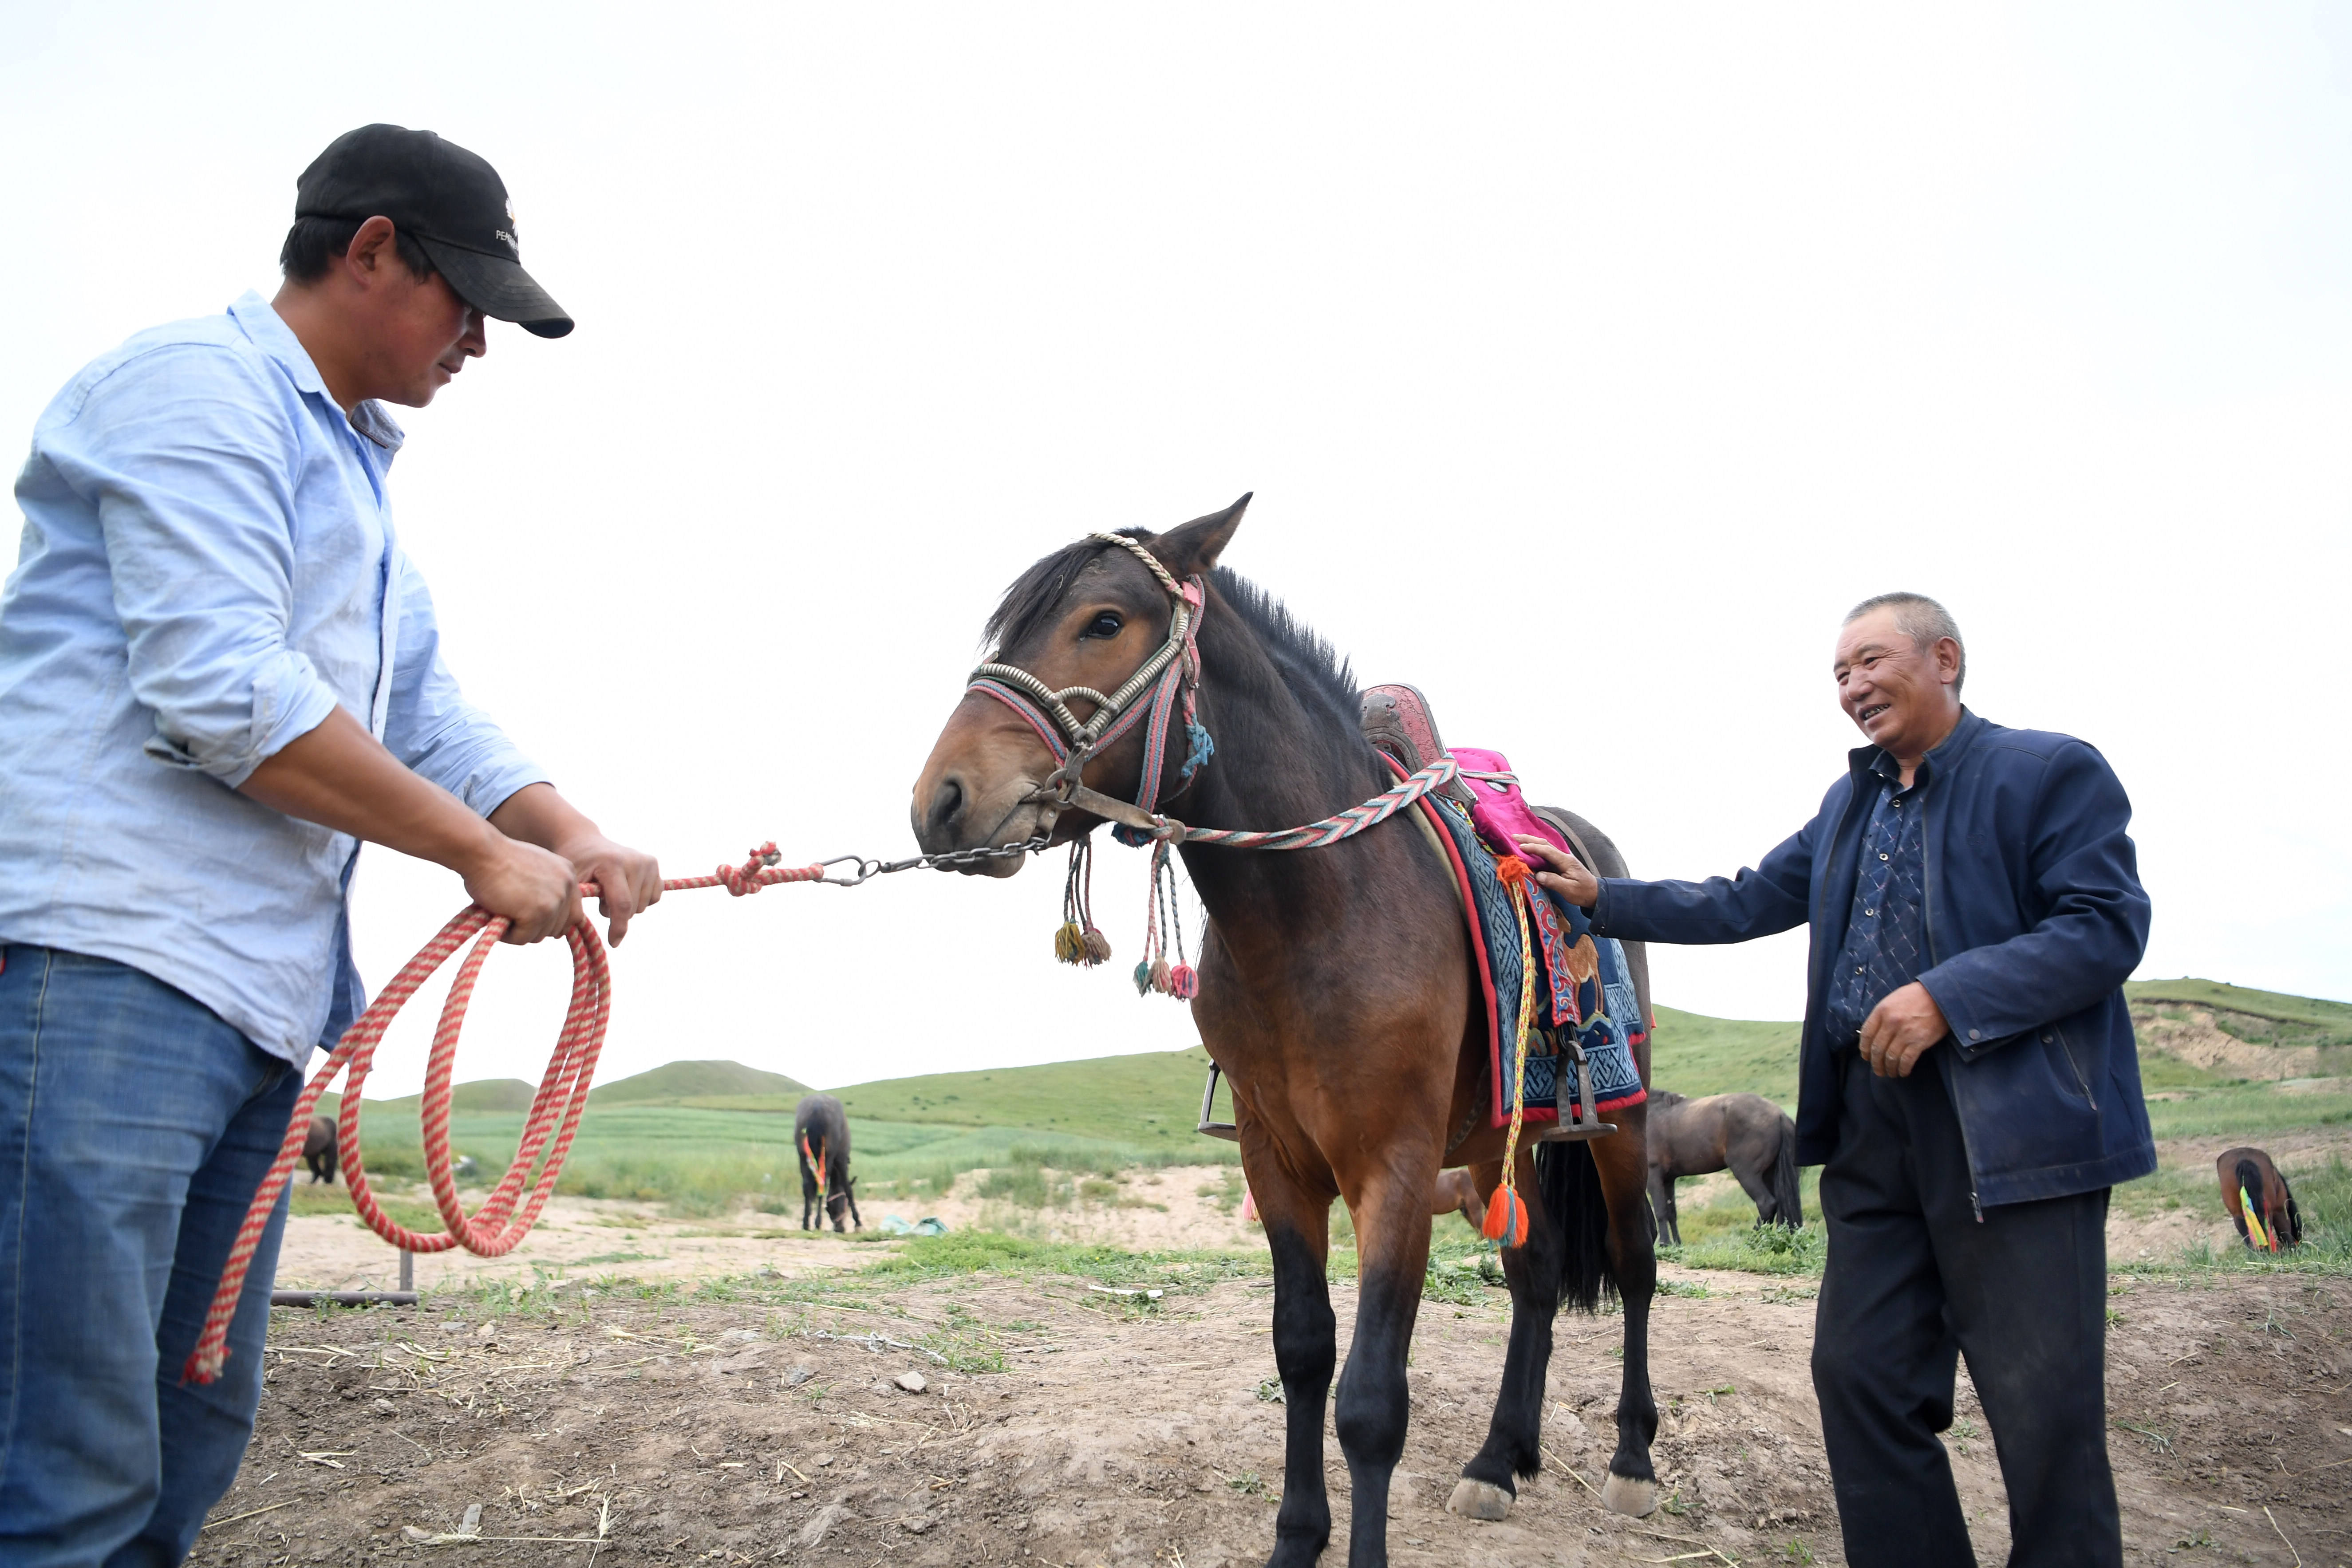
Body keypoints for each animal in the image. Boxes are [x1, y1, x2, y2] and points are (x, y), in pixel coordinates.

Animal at [795, 1100, 860, 1232]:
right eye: (845, 1203)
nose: (840, 1228)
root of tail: (817, 1108)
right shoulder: (841, 1160)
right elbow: (848, 1188)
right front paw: (857, 1221)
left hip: (803, 1157)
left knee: (807, 1186)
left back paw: (806, 1223)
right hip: (827, 1157)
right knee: (822, 1183)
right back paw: (818, 1222)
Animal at [908, 503, 1665, 1568]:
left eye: (1105, 622)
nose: (940, 801)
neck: (1318, 910)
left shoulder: (1393, 1168)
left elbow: (1371, 1401)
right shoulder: (1275, 1160)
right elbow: (1303, 1351)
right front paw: (1296, 1539)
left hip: (1621, 1124)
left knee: (1635, 1267)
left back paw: (1631, 1460)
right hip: (1495, 1145)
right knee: (1537, 1273)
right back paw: (1499, 1458)